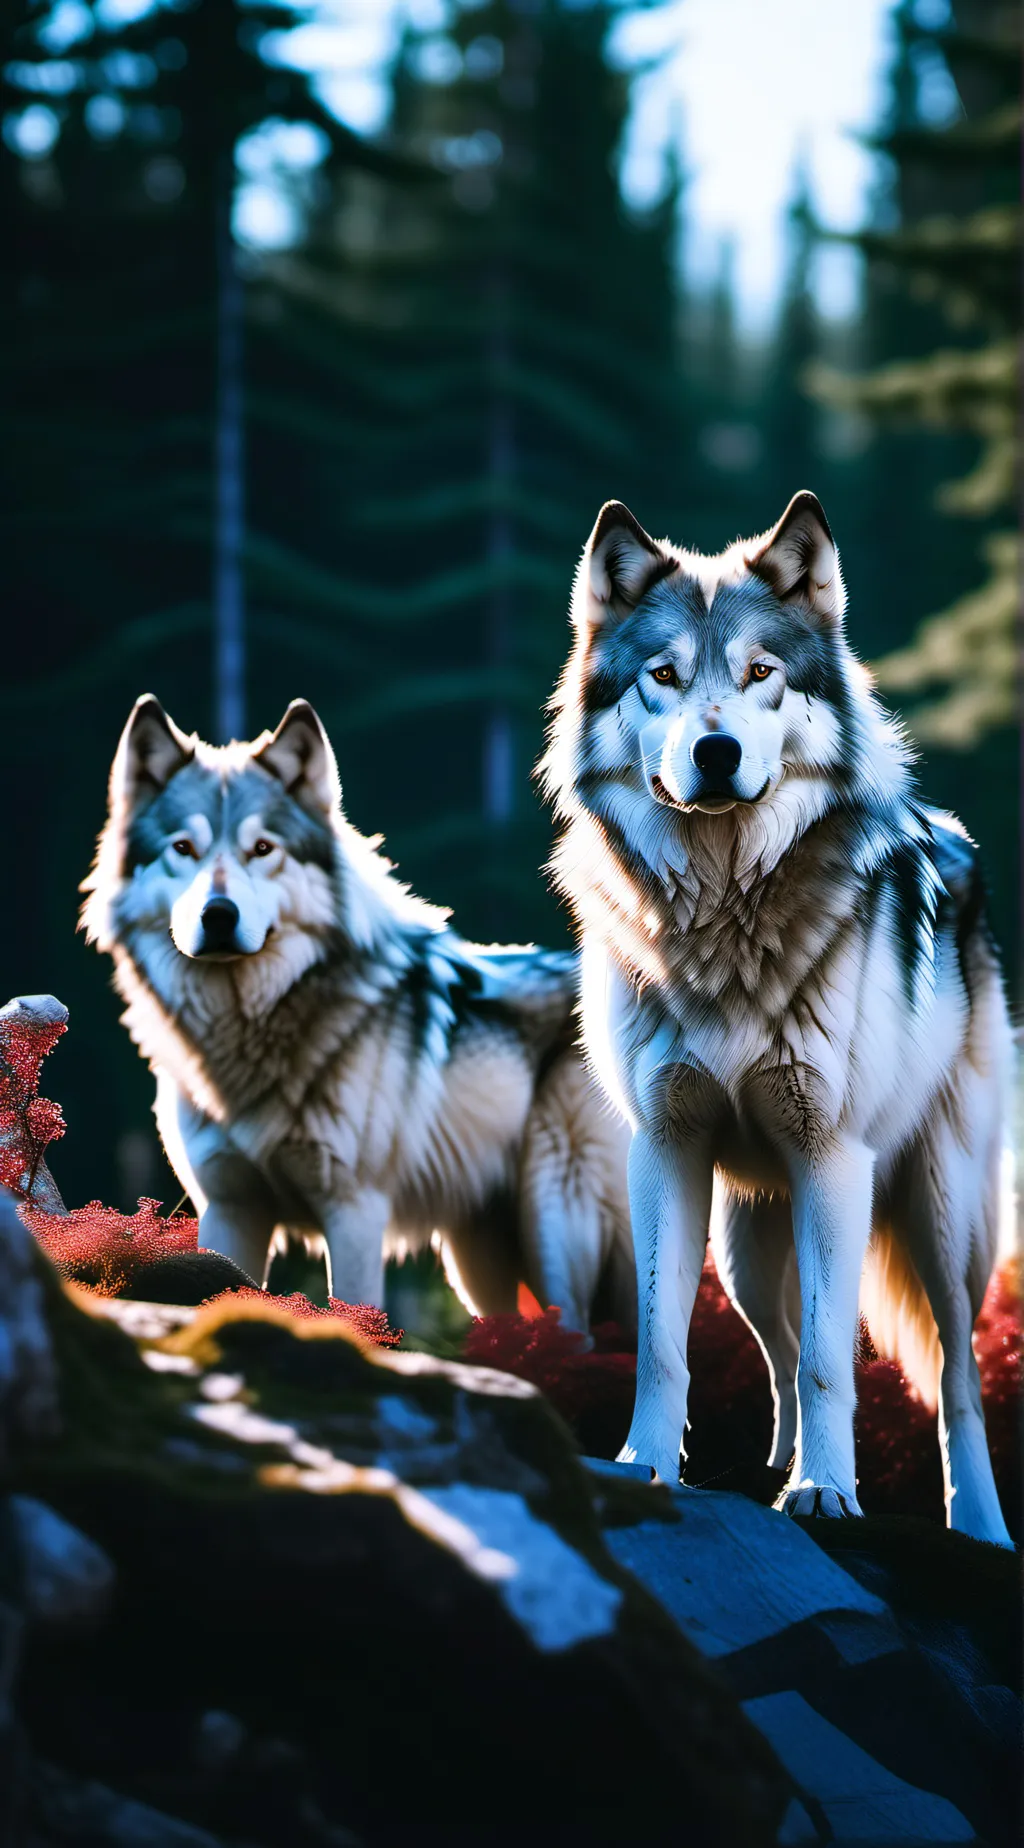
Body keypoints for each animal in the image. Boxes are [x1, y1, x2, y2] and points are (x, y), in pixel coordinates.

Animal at [82, 697, 632, 1329]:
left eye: (262, 848)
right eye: (182, 849)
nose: (218, 915)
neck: (246, 1034)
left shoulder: (355, 1213)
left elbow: (355, 1314)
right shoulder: (229, 1209)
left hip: (556, 1226)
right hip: (480, 1266)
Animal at [542, 490, 1013, 1543]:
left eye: (762, 674)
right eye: (664, 677)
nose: (715, 752)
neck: (725, 916)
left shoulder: (831, 1157)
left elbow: (837, 1363)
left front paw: (827, 1492)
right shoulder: (664, 1151)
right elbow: (665, 1342)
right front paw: (643, 1467)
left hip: (940, 1217)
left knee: (955, 1378)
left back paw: (976, 1525)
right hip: (746, 1240)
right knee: (781, 1346)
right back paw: (772, 1466)